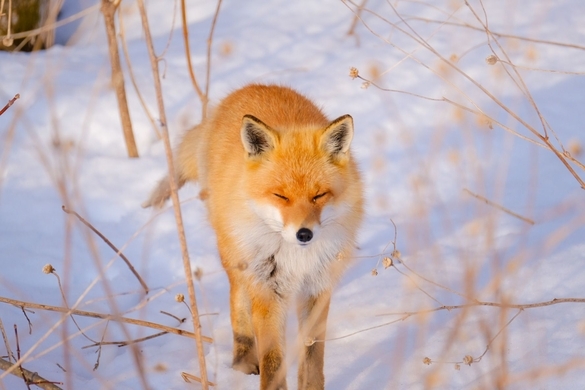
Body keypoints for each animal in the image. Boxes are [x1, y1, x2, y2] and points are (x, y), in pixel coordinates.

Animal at [144, 84, 362, 388]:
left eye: (319, 195)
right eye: (280, 196)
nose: (304, 234)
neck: (297, 257)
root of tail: (251, 87)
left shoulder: (318, 286)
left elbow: (312, 356)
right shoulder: (268, 288)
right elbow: (272, 359)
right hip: (238, 261)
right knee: (238, 304)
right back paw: (242, 360)